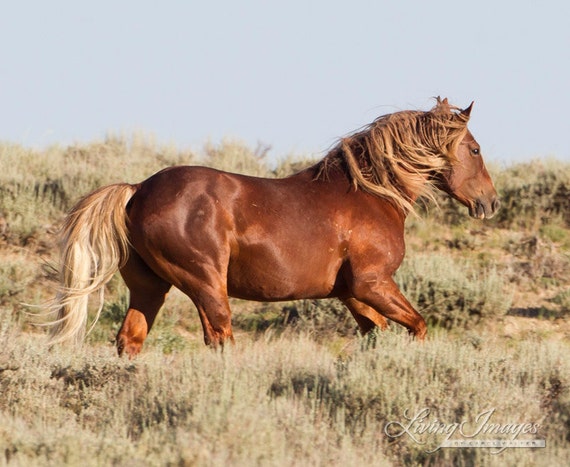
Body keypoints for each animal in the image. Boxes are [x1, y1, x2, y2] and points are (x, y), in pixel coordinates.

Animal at [45, 97, 496, 356]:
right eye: (475, 149)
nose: (489, 202)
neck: (371, 193)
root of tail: (138, 189)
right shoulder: (373, 283)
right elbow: (418, 326)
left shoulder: (353, 293)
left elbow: (377, 334)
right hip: (205, 282)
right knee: (219, 338)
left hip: (151, 286)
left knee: (131, 340)